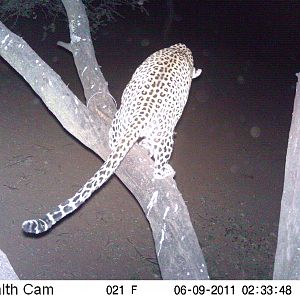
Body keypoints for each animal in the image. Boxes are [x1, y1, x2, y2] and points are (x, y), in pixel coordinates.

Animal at [22, 42, 202, 234]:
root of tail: (142, 112)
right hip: (165, 135)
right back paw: (166, 170)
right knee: (158, 167)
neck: (179, 50)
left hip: (120, 116)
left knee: (115, 140)